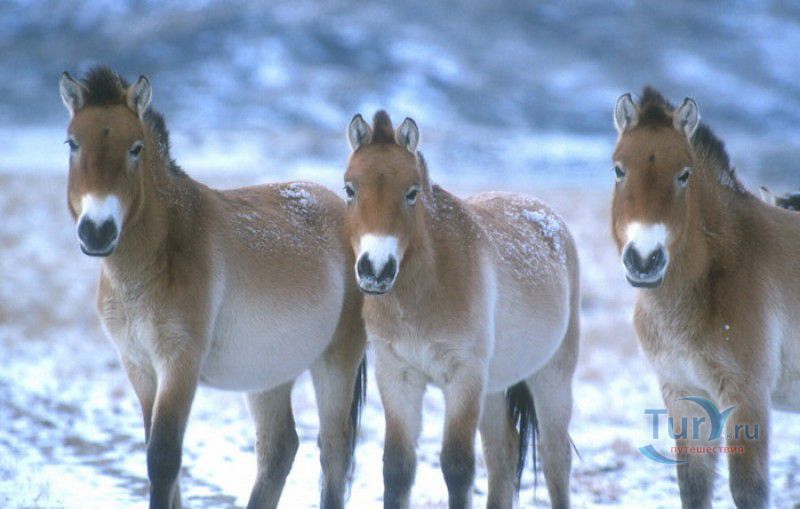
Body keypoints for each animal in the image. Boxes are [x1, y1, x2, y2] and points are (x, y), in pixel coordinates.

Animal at [59, 67, 367, 509]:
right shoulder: (139, 367)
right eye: (72, 143)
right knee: (278, 449)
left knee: (334, 453)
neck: (160, 251)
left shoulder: (179, 363)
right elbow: (160, 460)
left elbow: (163, 459)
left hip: (336, 361)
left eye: (135, 148)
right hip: (269, 374)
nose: (97, 230)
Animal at [342, 111, 580, 509]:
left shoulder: (464, 376)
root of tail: (549, 218)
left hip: (552, 376)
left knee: (554, 459)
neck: (424, 292)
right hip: (495, 387)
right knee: (502, 455)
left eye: (411, 193)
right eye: (349, 189)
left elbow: (456, 466)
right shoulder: (397, 376)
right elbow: (397, 467)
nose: (376, 269)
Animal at [611, 87, 800, 508]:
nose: (644, 260)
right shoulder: (684, 395)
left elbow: (748, 491)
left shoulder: (746, 396)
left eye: (684, 174)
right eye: (618, 169)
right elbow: (693, 488)